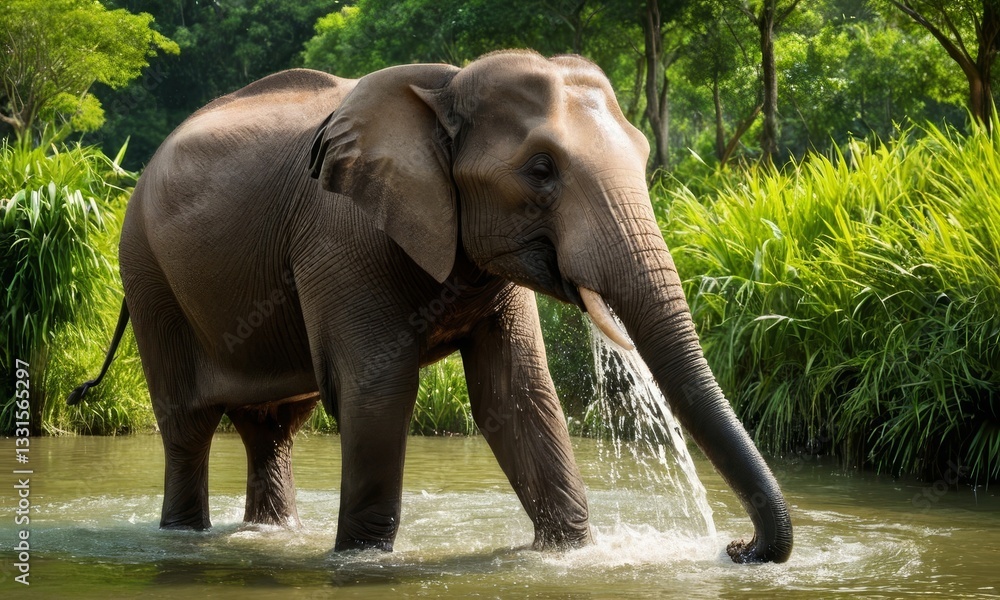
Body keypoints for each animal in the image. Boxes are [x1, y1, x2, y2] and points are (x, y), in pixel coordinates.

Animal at [69, 49, 792, 563]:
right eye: (540, 169)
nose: (737, 548)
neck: (447, 85)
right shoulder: (339, 235)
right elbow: (378, 390)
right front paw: (361, 560)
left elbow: (517, 394)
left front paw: (569, 554)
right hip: (147, 272)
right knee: (187, 424)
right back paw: (183, 538)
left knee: (272, 428)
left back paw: (270, 535)